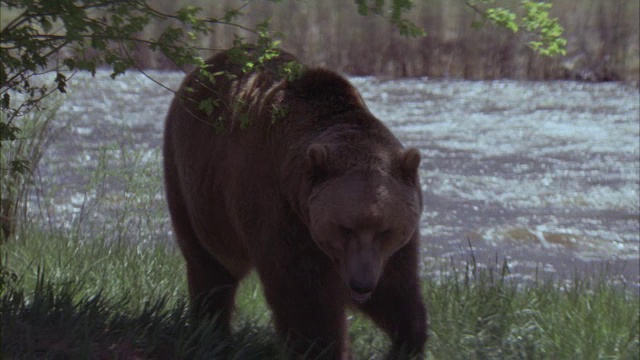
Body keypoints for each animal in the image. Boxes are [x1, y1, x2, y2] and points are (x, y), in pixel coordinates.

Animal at [162, 48, 428, 360]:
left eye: (386, 230)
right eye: (344, 227)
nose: (361, 284)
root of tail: (200, 69)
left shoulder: (388, 242)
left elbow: (395, 286)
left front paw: (408, 340)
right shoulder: (281, 209)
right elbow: (304, 298)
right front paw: (321, 348)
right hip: (191, 184)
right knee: (209, 264)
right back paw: (211, 329)